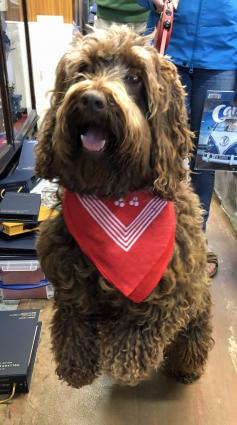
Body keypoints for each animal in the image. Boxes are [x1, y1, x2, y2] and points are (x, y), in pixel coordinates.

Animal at [36, 25, 214, 388]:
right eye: (84, 69)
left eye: (134, 78)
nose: (92, 99)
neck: (114, 195)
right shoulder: (64, 265)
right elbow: (72, 314)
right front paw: (76, 365)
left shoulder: (176, 284)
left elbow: (148, 318)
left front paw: (126, 362)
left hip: (199, 302)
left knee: (194, 333)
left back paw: (186, 366)